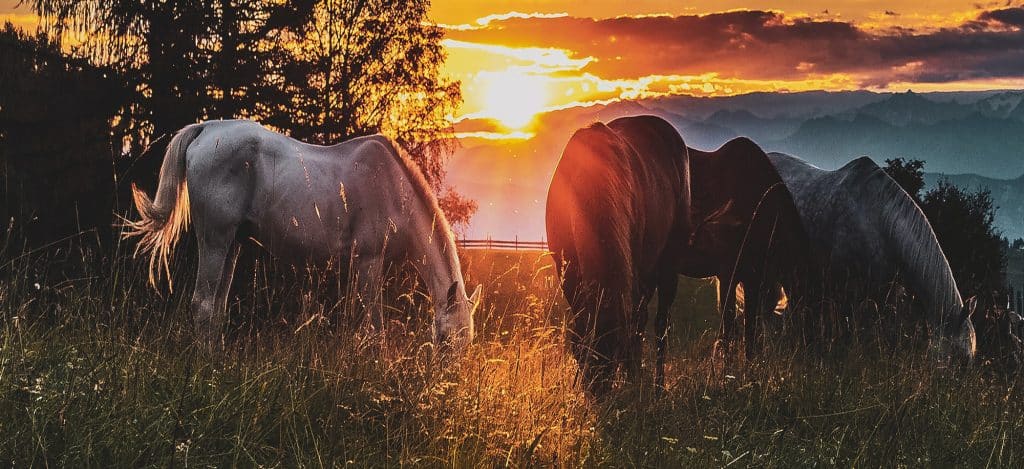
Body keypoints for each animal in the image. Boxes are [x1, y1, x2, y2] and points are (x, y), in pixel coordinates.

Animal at [123, 119, 480, 349]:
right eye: (446, 341)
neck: (393, 188)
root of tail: (206, 130)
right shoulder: (368, 261)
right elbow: (373, 327)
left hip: (232, 244)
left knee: (216, 309)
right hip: (215, 240)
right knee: (204, 305)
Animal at [545, 115, 690, 394]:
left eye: (614, 354)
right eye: (582, 354)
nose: (598, 395)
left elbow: (635, 327)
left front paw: (633, 377)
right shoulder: (568, 271)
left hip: (668, 266)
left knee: (659, 325)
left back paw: (656, 386)